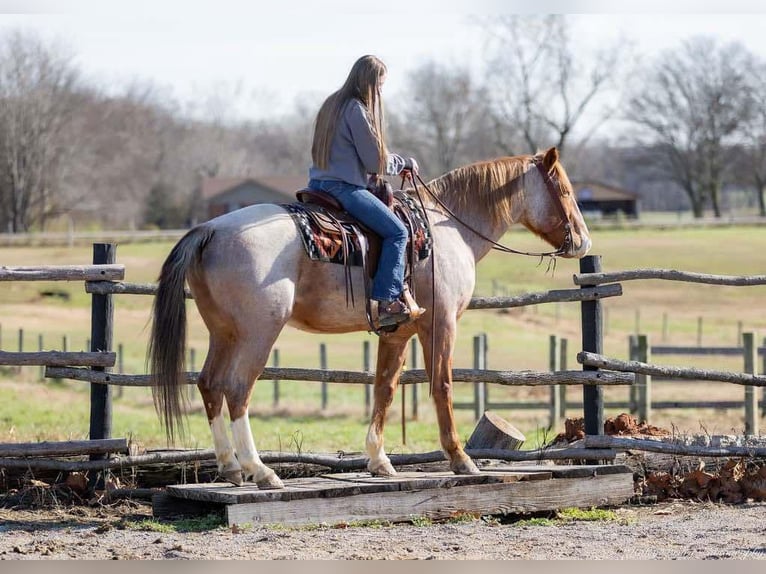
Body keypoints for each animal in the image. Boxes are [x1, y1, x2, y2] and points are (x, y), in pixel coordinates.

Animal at [148, 146, 592, 488]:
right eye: (565, 189)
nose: (583, 241)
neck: (448, 228)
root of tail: (210, 229)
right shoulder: (441, 324)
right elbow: (442, 386)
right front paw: (460, 459)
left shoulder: (397, 333)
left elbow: (385, 389)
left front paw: (380, 461)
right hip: (258, 333)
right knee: (237, 390)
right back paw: (261, 471)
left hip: (223, 333)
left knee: (209, 385)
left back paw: (229, 466)